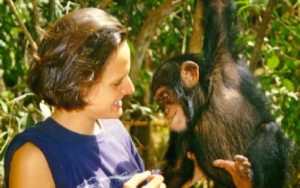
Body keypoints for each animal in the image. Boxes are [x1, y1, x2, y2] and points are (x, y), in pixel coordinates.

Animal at [152, 0, 290, 187]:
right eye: (160, 103)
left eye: (165, 97)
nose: (166, 112)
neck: (205, 103)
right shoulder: (180, 133)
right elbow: (177, 169)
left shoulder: (223, 60)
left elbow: (219, 7)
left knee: (269, 129)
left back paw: (244, 178)